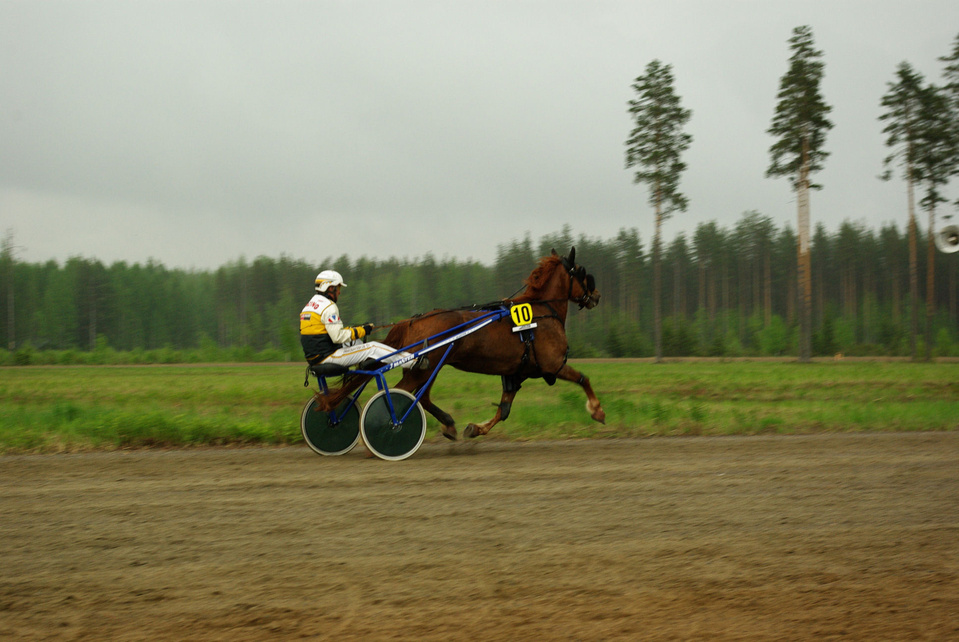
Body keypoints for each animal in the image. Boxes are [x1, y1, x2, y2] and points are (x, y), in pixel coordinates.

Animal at [321, 247, 606, 440]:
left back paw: (448, 424)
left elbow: (504, 409)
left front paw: (475, 428)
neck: (542, 312)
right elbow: (584, 379)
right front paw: (597, 411)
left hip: (428, 365)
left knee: (422, 397)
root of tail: (413, 320)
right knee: (400, 395)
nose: (596, 296)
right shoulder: (553, 364)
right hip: (425, 366)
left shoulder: (516, 373)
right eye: (582, 273)